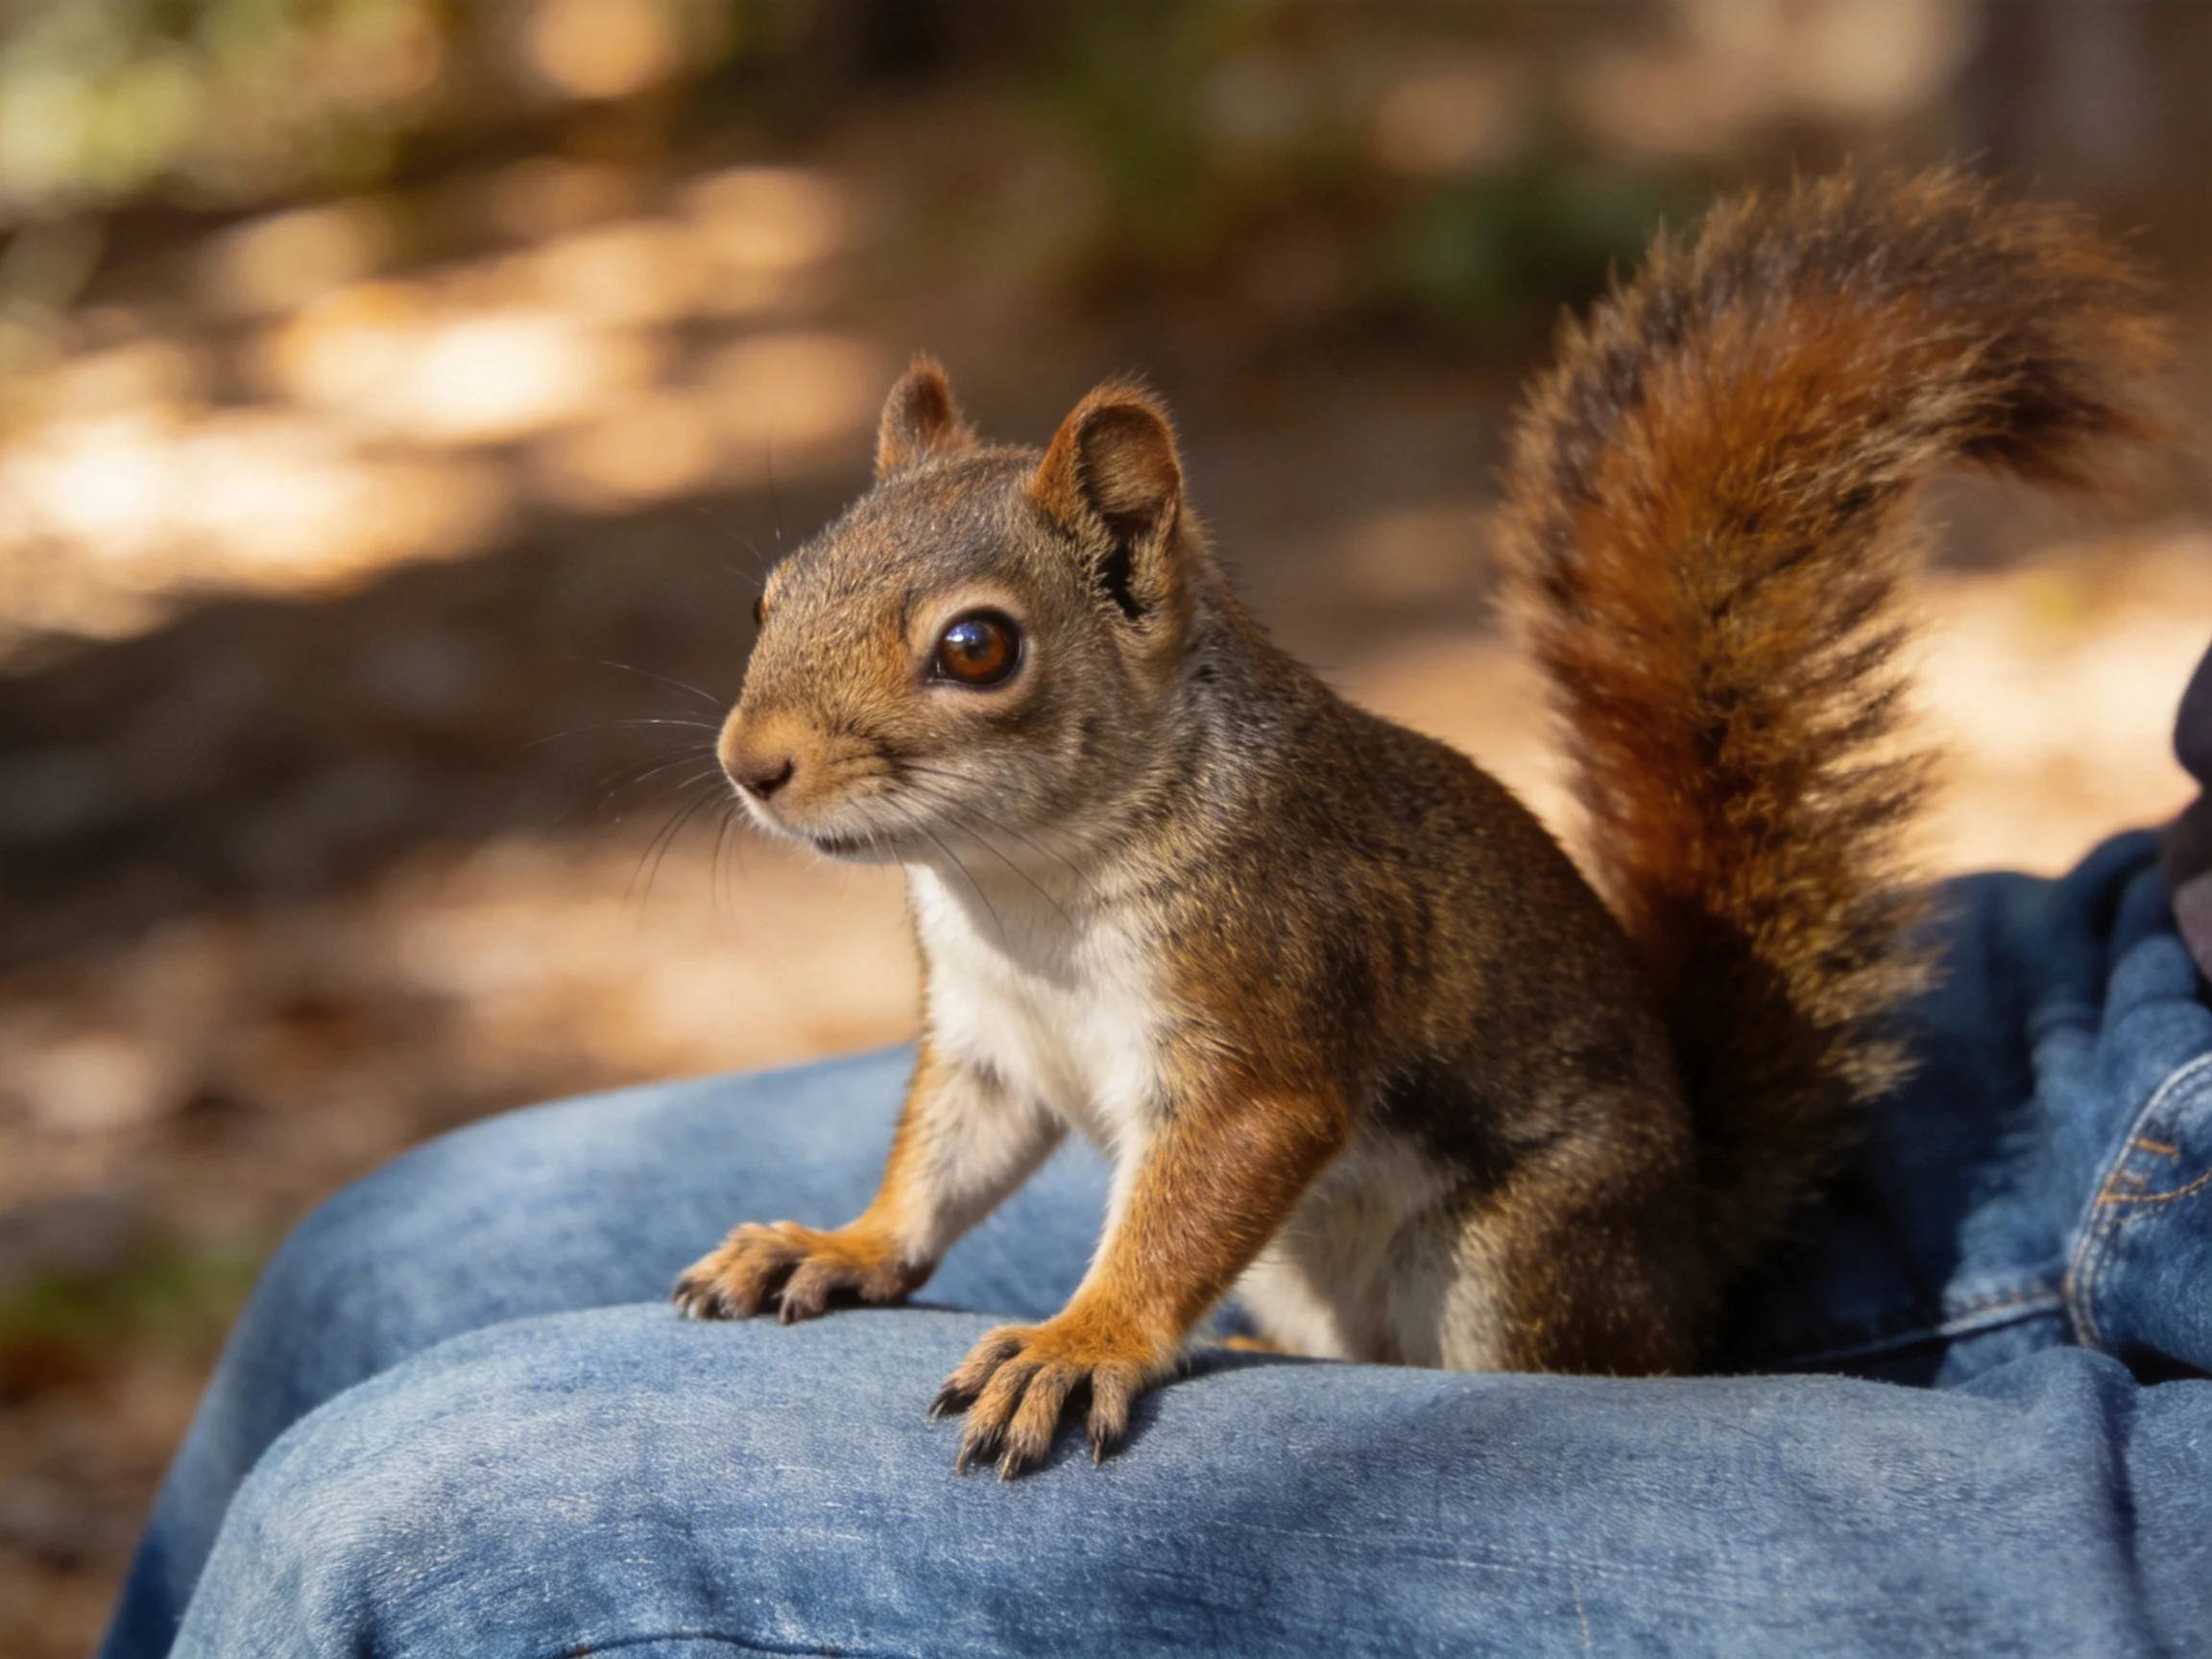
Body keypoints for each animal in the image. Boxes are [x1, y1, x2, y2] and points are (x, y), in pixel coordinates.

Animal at [672, 169, 2166, 1478]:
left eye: (977, 648)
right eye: (767, 593)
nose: (753, 764)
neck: (1021, 882)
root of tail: (1687, 1265)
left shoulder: (1270, 998)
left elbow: (1197, 1195)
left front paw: (1083, 1341)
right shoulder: (989, 1040)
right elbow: (944, 1166)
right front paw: (838, 1245)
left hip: (1525, 1255)